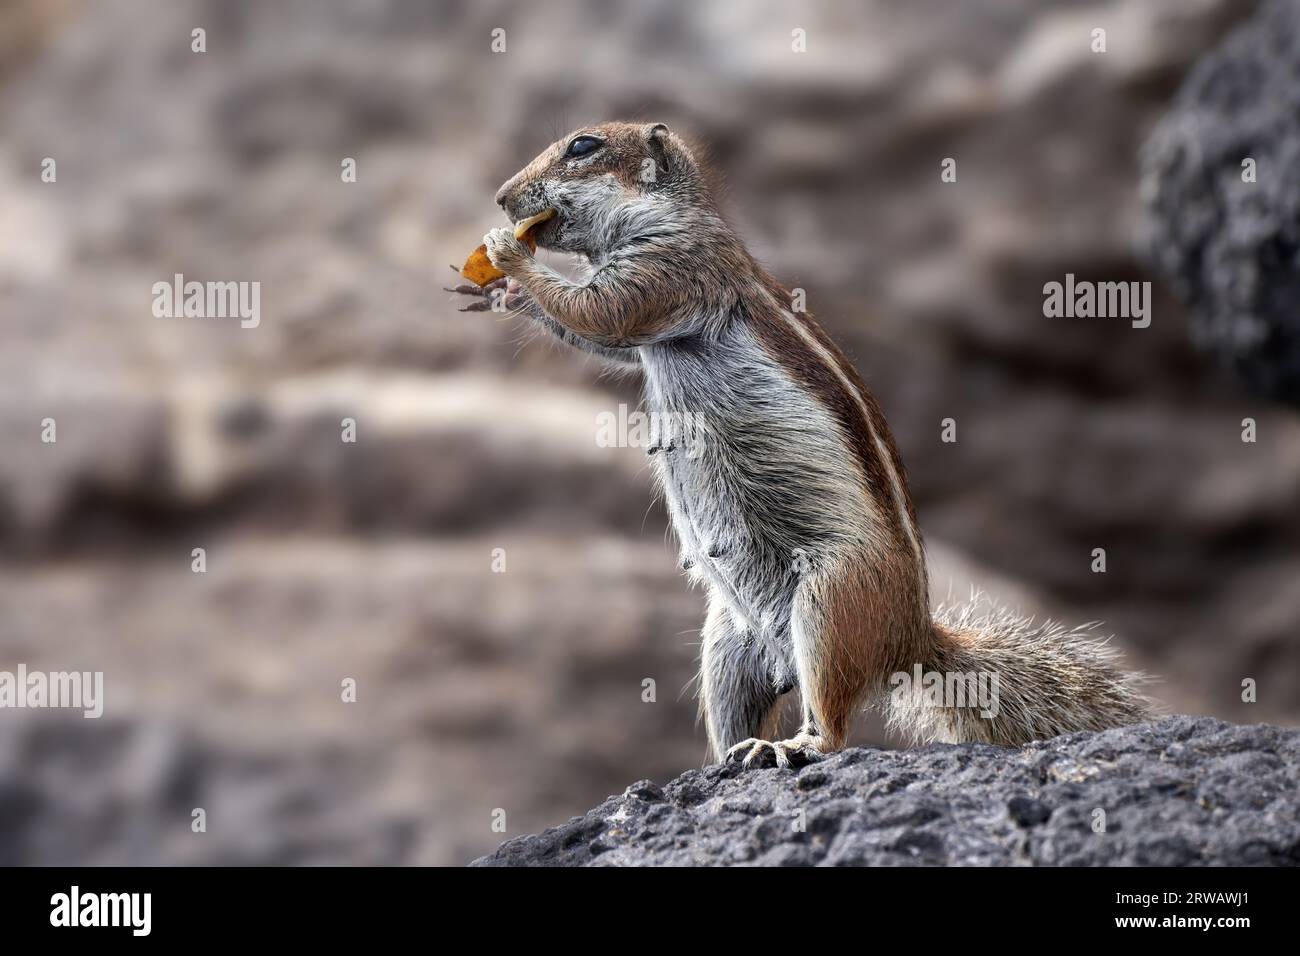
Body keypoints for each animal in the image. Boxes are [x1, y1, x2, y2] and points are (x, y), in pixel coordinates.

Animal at [450, 121, 1155, 769]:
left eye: (583, 146)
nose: (502, 198)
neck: (667, 213)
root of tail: (910, 642)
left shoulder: (674, 268)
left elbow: (604, 313)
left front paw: (508, 259)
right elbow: (599, 336)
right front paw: (500, 291)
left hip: (830, 601)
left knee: (835, 727)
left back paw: (793, 747)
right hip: (726, 645)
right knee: (742, 711)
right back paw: (729, 759)